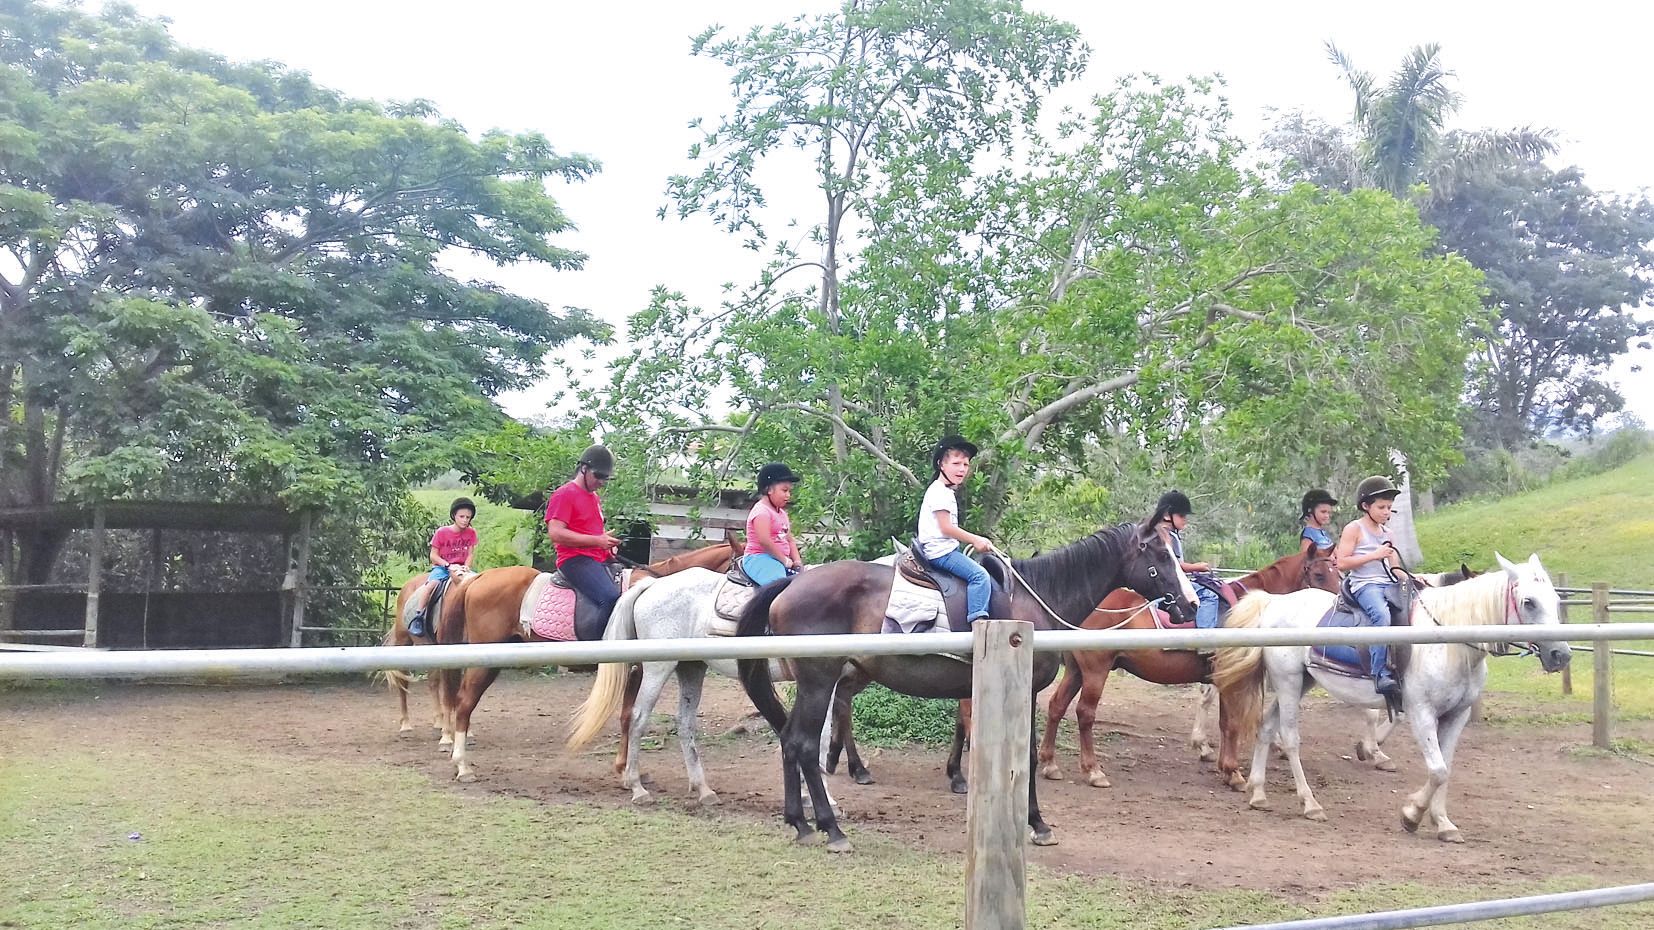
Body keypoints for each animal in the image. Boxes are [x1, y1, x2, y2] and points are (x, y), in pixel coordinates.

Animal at [432, 531, 742, 782]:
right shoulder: (637, 668)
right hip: (486, 661)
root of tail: (478, 579)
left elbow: (626, 715)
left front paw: (623, 768)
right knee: (464, 704)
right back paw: (463, 766)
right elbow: (629, 716)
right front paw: (626, 770)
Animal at [734, 521, 1194, 852]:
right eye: (1160, 553)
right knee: (803, 744)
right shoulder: (1023, 690)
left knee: (790, 740)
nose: (1189, 604)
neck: (1035, 601)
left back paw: (801, 823)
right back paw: (831, 830)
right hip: (818, 679)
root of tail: (791, 583)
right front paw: (1036, 823)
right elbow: (1023, 754)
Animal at [1036, 544, 1341, 790]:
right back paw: (1093, 771)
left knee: (1057, 705)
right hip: (1095, 670)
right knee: (1085, 713)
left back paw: (1050, 764)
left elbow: (1224, 723)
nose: (1336, 610)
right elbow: (1231, 724)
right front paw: (1234, 773)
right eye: (1319, 575)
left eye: (1337, 573)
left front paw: (1225, 769)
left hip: (1076, 670)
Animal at [1212, 553, 1571, 840]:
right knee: (1289, 737)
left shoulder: (1457, 715)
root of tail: (1274, 602)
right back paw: (1310, 804)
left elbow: (1446, 768)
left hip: (1302, 682)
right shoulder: (1421, 711)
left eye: (1555, 600)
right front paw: (1412, 815)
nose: (1561, 655)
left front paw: (1443, 823)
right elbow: (1437, 769)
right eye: (1529, 602)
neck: (1448, 640)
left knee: (1266, 726)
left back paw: (1258, 793)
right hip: (1288, 682)